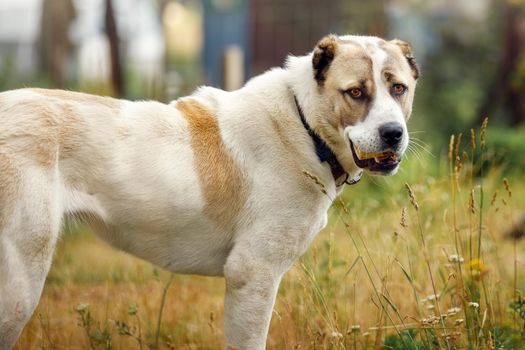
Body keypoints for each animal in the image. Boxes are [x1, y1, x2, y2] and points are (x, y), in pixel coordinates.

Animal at [0, 34, 418, 348]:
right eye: (356, 93)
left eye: (398, 88)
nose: (393, 133)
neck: (303, 123)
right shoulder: (253, 275)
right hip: (20, 285)